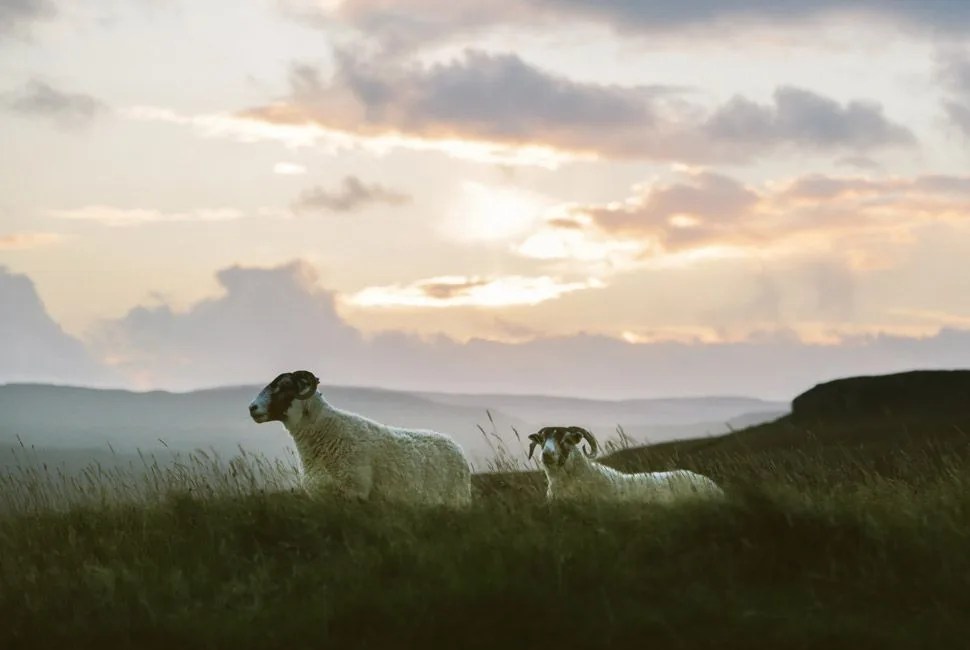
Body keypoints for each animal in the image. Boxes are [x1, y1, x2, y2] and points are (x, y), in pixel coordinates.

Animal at [248, 370, 472, 507]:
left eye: (284, 386)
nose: (252, 408)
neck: (323, 433)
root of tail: (453, 443)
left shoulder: (354, 493)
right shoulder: (321, 498)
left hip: (456, 500)